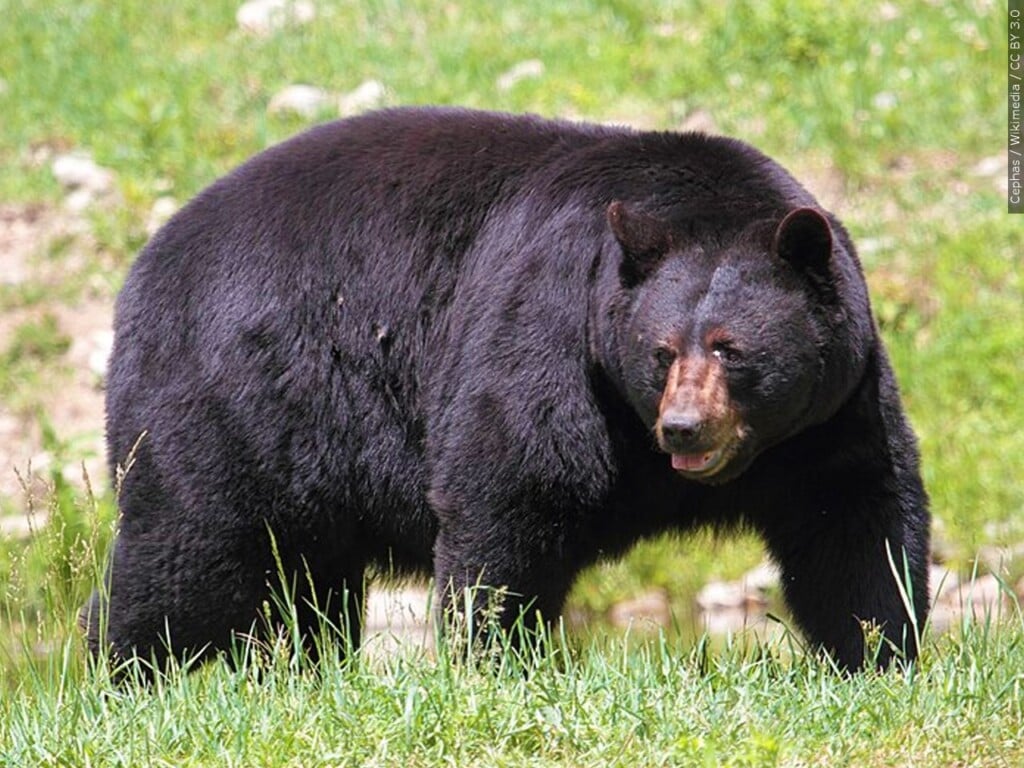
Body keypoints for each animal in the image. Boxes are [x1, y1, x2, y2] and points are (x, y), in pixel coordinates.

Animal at [84, 106, 930, 673]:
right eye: (661, 352)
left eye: (732, 348)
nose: (684, 428)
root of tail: (145, 265)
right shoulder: (549, 329)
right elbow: (511, 490)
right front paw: (494, 657)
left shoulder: (832, 409)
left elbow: (856, 517)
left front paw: (879, 650)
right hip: (230, 394)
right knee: (188, 550)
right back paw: (122, 668)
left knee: (308, 579)